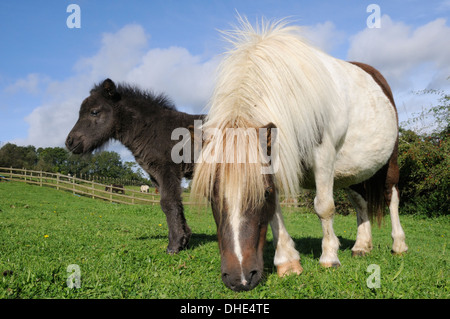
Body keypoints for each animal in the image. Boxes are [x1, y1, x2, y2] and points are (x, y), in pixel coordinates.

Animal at [190, 18, 408, 292]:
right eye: (211, 195)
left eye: (263, 193)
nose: (240, 279)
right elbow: (276, 213)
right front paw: (287, 261)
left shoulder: (323, 156)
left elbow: (324, 207)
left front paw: (329, 257)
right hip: (353, 171)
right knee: (361, 201)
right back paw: (362, 246)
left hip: (389, 163)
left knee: (392, 197)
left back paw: (399, 244)